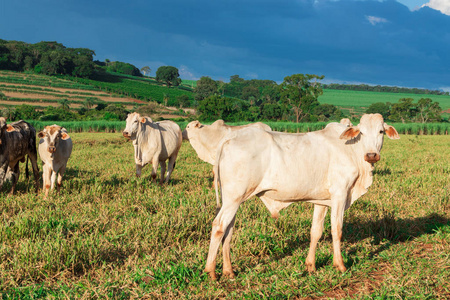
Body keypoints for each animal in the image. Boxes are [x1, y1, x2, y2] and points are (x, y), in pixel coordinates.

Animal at [206, 113, 400, 280]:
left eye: (381, 131)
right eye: (362, 132)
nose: (371, 155)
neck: (352, 150)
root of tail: (230, 138)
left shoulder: (322, 201)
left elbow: (316, 231)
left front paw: (311, 265)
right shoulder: (340, 194)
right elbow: (336, 230)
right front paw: (340, 265)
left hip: (232, 199)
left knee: (228, 231)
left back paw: (229, 271)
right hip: (234, 197)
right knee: (219, 226)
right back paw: (211, 271)